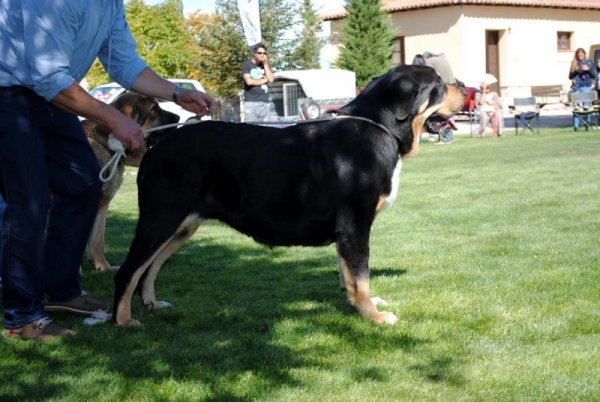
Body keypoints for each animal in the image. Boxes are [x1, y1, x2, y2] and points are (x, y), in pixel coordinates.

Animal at [83, 92, 179, 272]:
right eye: (154, 109)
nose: (178, 117)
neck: (105, 143)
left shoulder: (102, 205)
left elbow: (98, 240)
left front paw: (103, 267)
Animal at [112, 64, 466, 326]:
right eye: (437, 84)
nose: (464, 88)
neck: (378, 128)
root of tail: (157, 145)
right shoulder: (355, 224)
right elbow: (360, 274)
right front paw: (373, 315)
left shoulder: (346, 231)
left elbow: (348, 274)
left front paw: (354, 303)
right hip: (160, 218)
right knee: (128, 271)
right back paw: (123, 321)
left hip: (182, 226)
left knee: (149, 269)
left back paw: (151, 304)